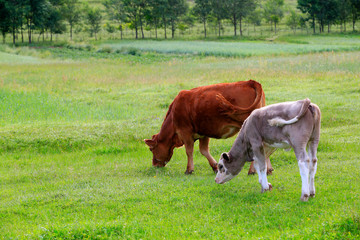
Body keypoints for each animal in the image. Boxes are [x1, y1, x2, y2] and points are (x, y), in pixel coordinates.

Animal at [143, 80, 272, 174]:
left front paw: (189, 169)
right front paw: (215, 167)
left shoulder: (185, 132)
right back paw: (268, 169)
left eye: (151, 149)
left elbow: (189, 151)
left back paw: (252, 170)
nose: (155, 165)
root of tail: (250, 82)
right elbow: (204, 150)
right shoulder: (203, 133)